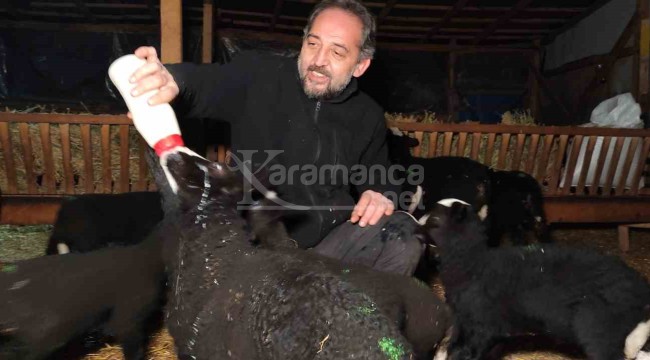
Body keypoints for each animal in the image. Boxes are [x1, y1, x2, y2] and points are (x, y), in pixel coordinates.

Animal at [422, 200, 648, 360]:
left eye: (434, 218)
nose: (417, 223)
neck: (474, 263)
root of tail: (640, 288)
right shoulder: (468, 321)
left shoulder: (483, 323)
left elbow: (465, 353)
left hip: (599, 327)